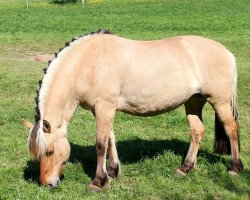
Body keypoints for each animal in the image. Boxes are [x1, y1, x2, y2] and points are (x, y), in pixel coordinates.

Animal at [23, 29, 242, 191]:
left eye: (50, 151)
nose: (47, 184)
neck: (88, 63)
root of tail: (227, 52)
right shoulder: (103, 110)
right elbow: (110, 139)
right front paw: (112, 172)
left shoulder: (104, 108)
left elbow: (100, 144)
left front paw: (98, 181)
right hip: (194, 102)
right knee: (197, 131)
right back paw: (185, 168)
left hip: (220, 102)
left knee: (231, 129)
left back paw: (235, 168)